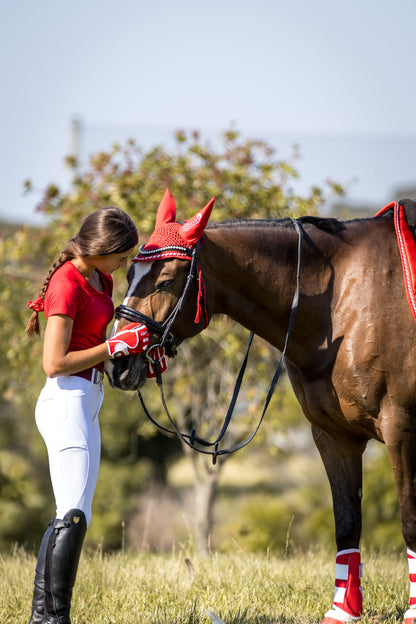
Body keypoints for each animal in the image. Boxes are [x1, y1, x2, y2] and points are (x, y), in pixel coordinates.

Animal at [105, 190, 416, 624]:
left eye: (165, 281)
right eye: (129, 274)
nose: (118, 363)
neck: (343, 304)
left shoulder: (401, 430)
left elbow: (410, 522)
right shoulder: (334, 436)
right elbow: (347, 523)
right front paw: (343, 612)